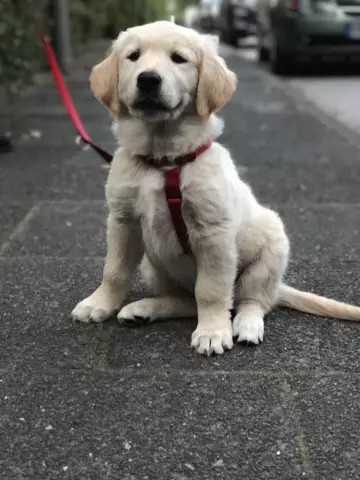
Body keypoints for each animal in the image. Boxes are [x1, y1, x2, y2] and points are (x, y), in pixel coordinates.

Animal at [71, 20, 360, 354]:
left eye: (178, 59)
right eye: (133, 56)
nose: (148, 80)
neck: (165, 160)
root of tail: (278, 287)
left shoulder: (212, 232)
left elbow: (210, 290)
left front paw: (212, 332)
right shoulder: (122, 220)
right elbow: (114, 271)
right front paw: (99, 304)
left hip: (270, 251)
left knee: (250, 300)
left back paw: (246, 325)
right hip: (152, 266)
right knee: (186, 300)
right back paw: (143, 309)